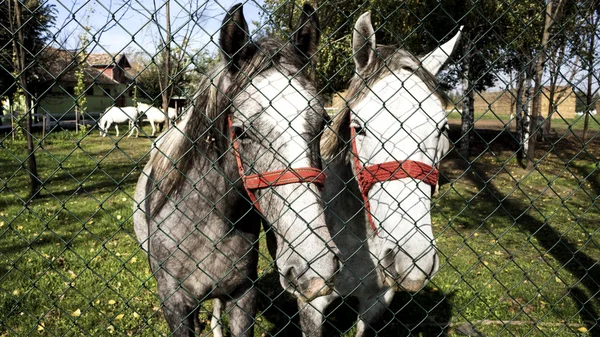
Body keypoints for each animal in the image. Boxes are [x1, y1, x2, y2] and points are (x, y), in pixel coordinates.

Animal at [134, 3, 340, 334]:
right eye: (241, 132)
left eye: (323, 123)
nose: (315, 267)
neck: (204, 224)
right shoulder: (174, 305)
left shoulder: (243, 296)